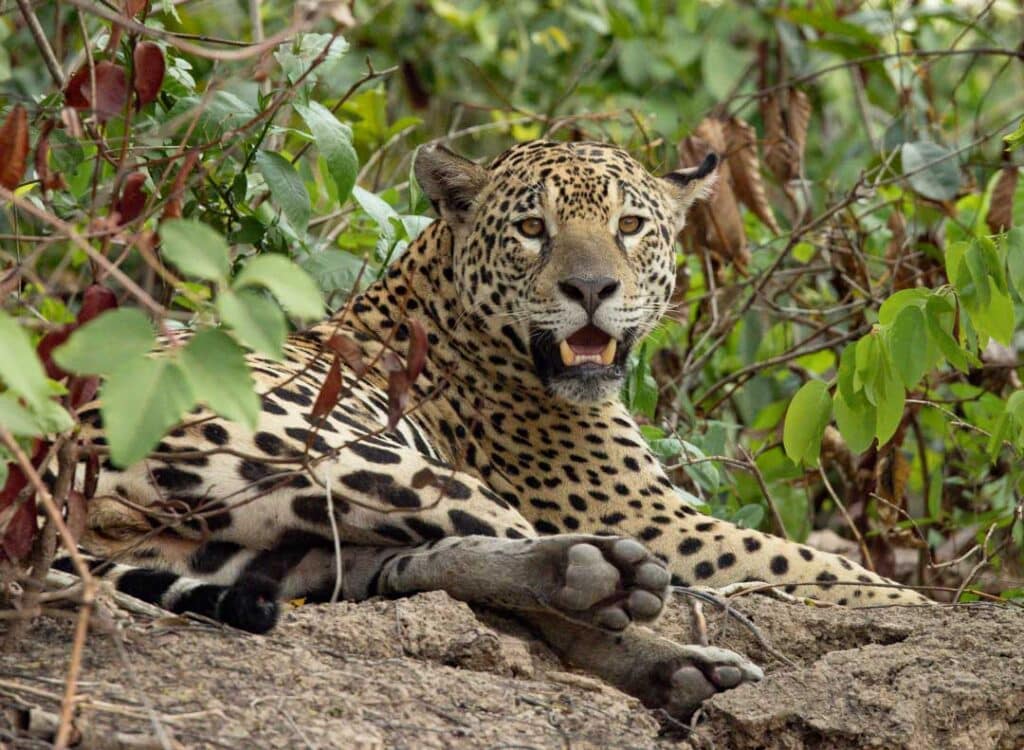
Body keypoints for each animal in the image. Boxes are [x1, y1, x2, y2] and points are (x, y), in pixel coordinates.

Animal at [61, 139, 929, 720]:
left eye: (630, 224)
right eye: (533, 230)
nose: (591, 289)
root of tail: (73, 461)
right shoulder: (657, 520)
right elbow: (838, 574)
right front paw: (912, 605)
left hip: (274, 546)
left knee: (408, 571)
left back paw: (662, 656)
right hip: (366, 457)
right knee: (539, 578)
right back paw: (640, 616)